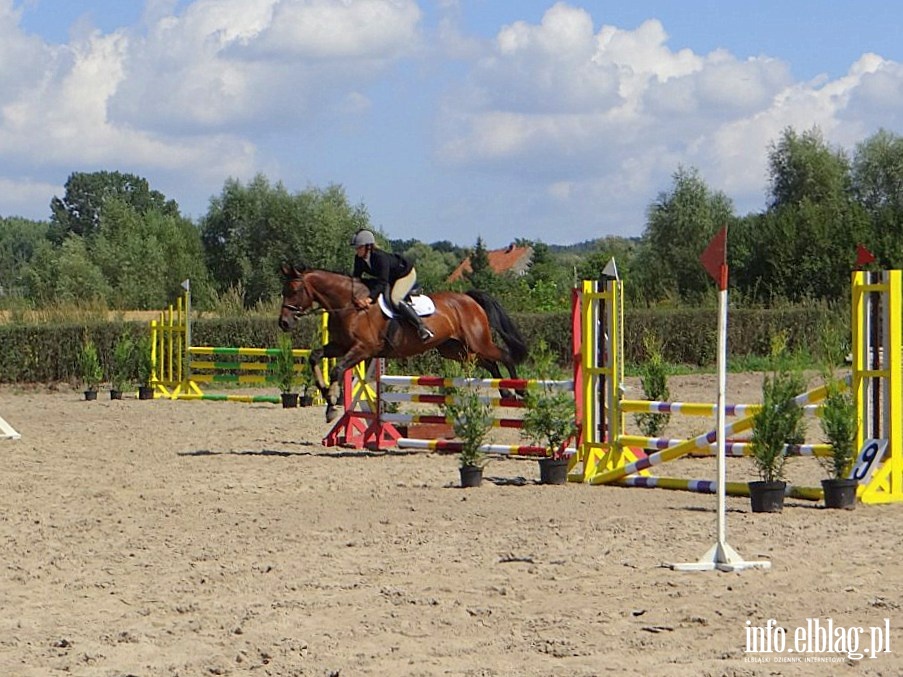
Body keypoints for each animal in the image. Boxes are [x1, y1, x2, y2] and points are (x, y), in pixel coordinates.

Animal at [278, 262, 528, 418]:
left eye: (294, 290)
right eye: (283, 290)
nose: (284, 323)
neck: (350, 305)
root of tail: (469, 298)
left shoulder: (363, 349)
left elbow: (337, 370)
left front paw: (331, 405)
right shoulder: (340, 346)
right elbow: (315, 356)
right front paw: (324, 392)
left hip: (477, 342)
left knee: (504, 356)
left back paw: (520, 391)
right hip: (456, 350)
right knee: (489, 363)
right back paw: (505, 392)